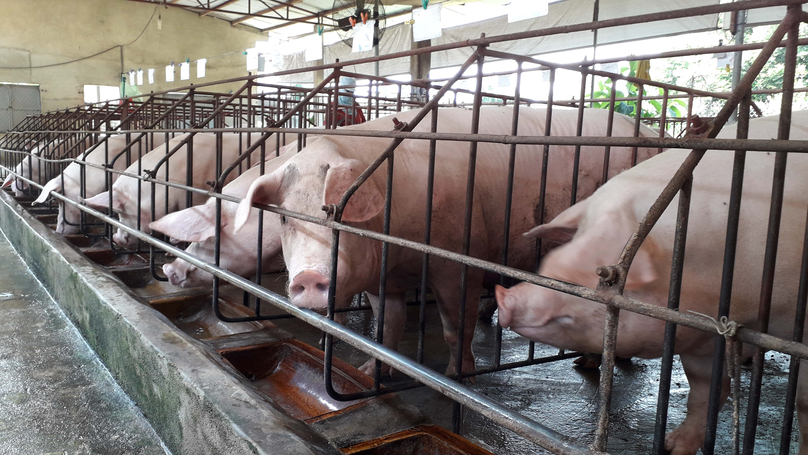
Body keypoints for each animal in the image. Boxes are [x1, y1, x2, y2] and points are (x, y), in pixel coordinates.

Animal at [235, 107, 664, 378]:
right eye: (285, 218)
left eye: (337, 214)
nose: (307, 278)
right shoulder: (383, 280)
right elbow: (387, 325)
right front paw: (370, 371)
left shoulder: (459, 260)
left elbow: (455, 327)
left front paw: (457, 375)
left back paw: (594, 364)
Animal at [496, 111, 808, 455]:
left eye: (599, 273)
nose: (503, 296)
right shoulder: (702, 328)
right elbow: (704, 389)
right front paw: (673, 447)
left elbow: (804, 402)